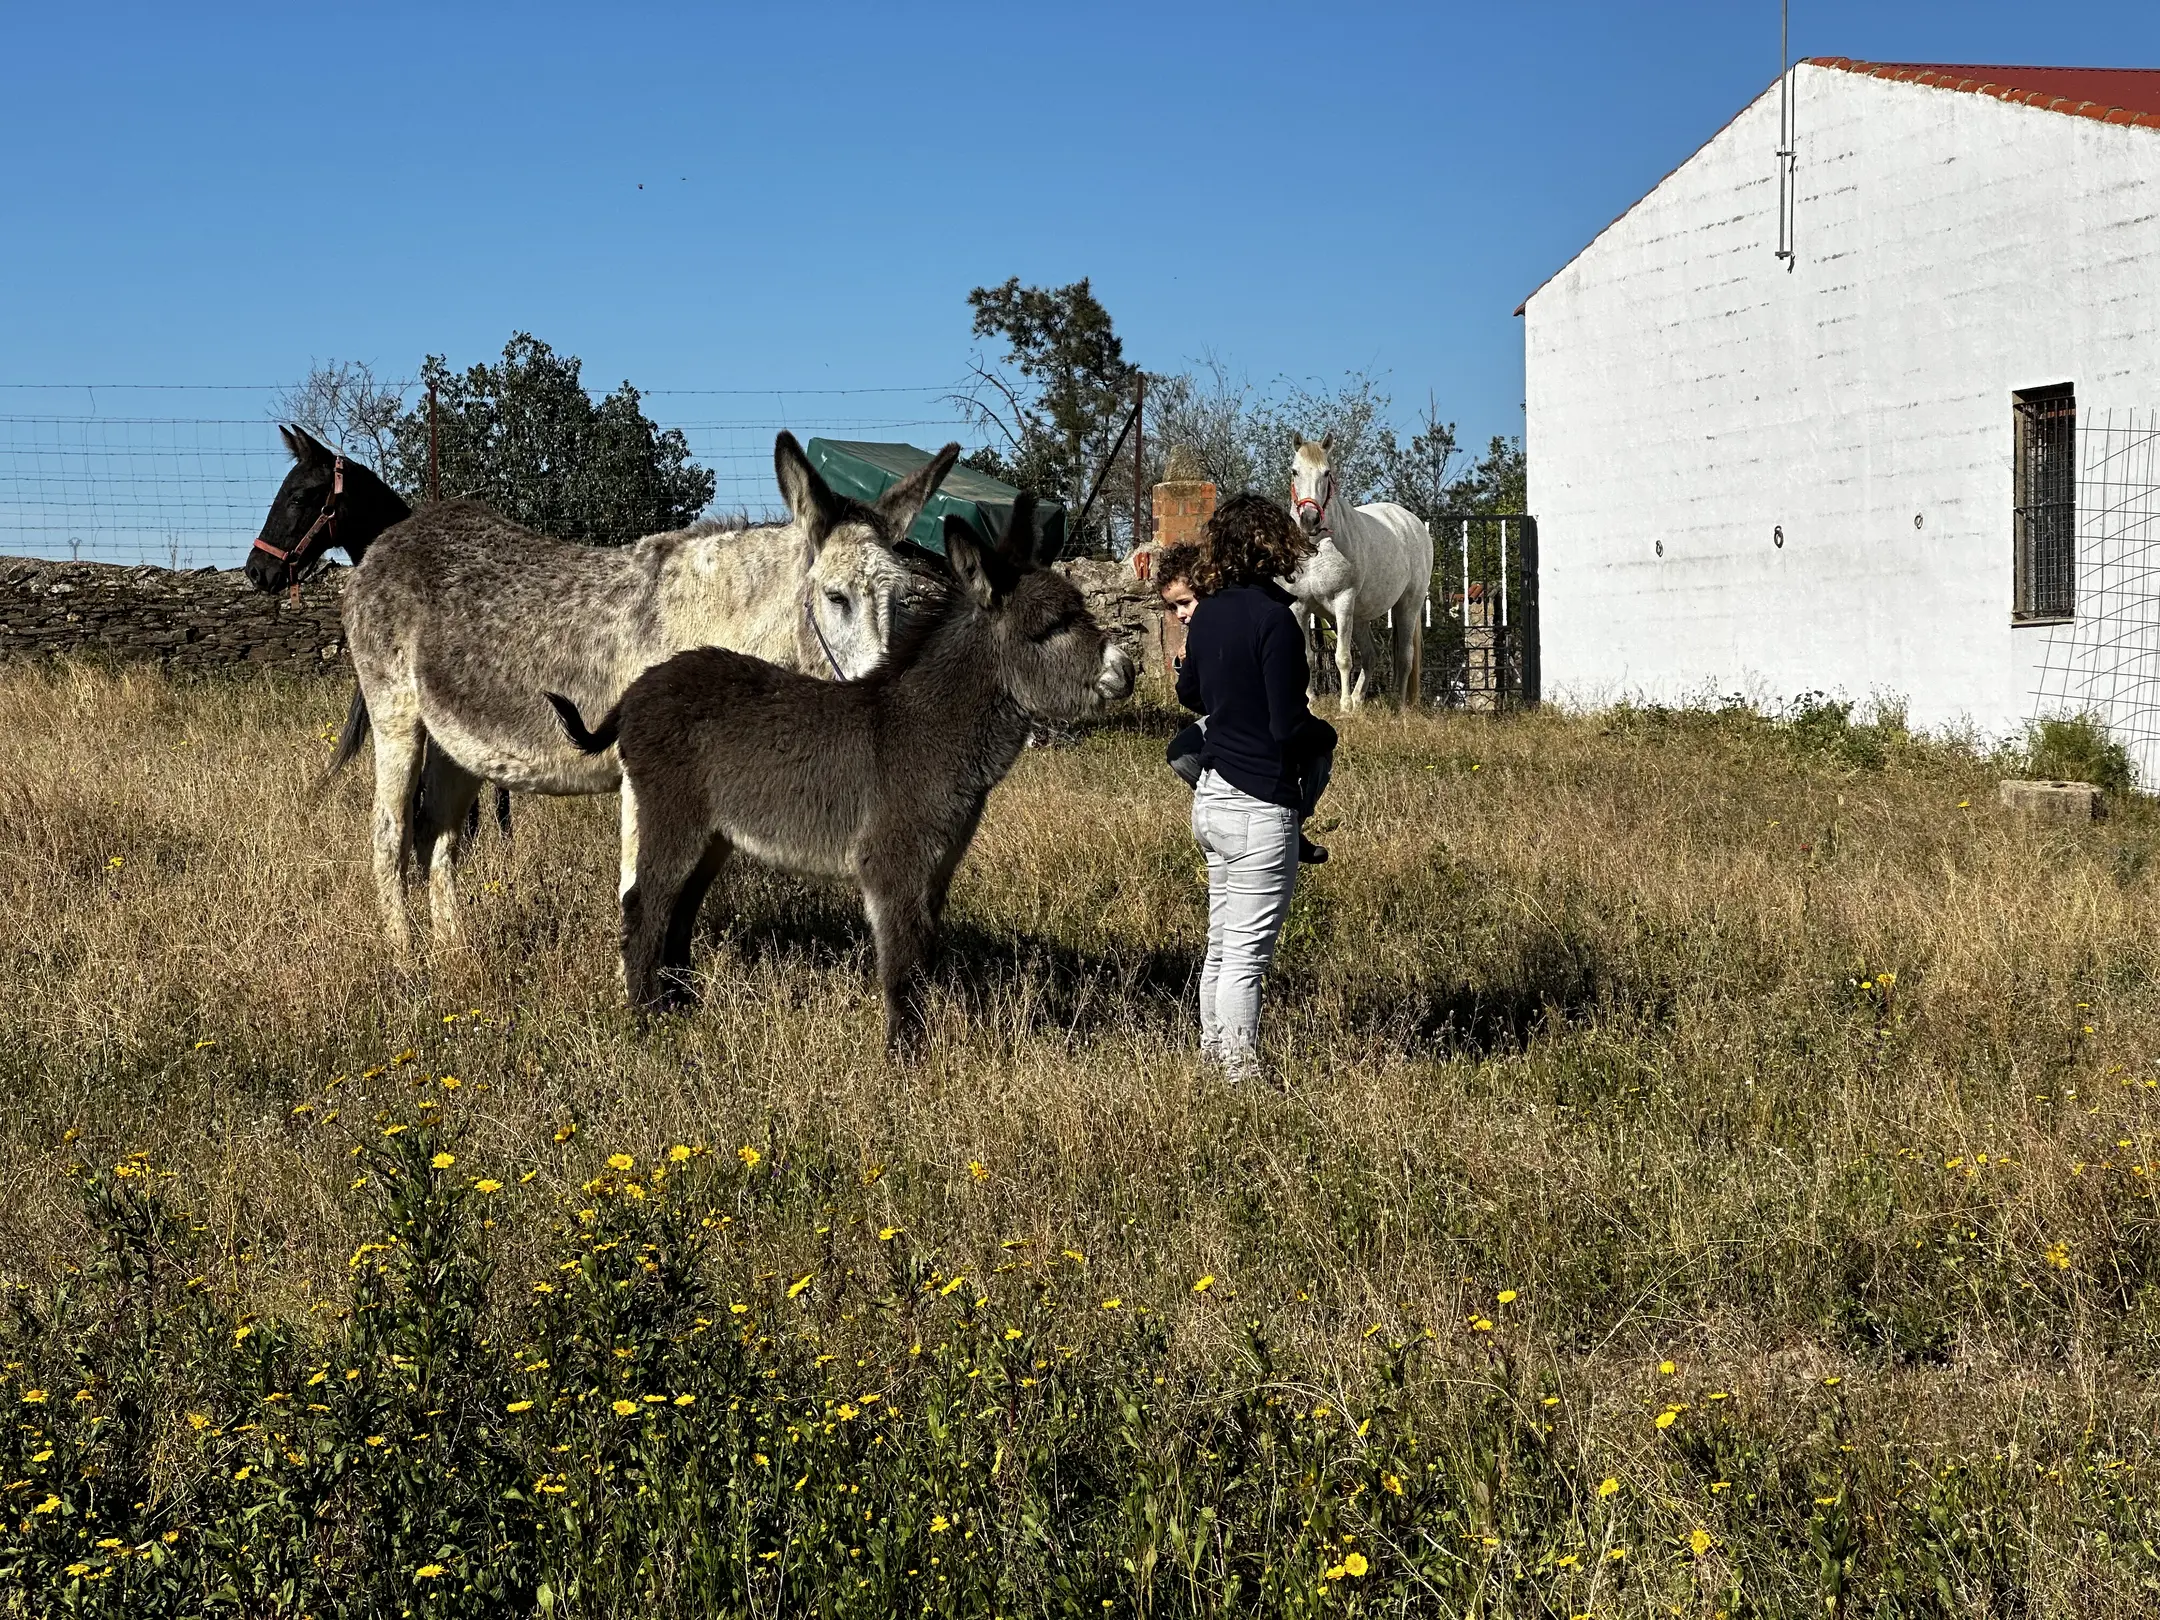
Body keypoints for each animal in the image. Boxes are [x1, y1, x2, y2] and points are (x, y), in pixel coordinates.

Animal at [1278, 438, 1434, 704]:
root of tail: (1412, 522)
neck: (1316, 549)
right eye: (1294, 471)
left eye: (1326, 473)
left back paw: (1398, 705)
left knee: (1405, 657)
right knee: (1372, 654)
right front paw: (1310, 701)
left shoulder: (1343, 602)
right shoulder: (1299, 607)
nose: (1309, 519)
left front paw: (1343, 704)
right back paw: (1359, 702)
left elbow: (1343, 658)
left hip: (1407, 605)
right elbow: (1307, 657)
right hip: (1361, 616)